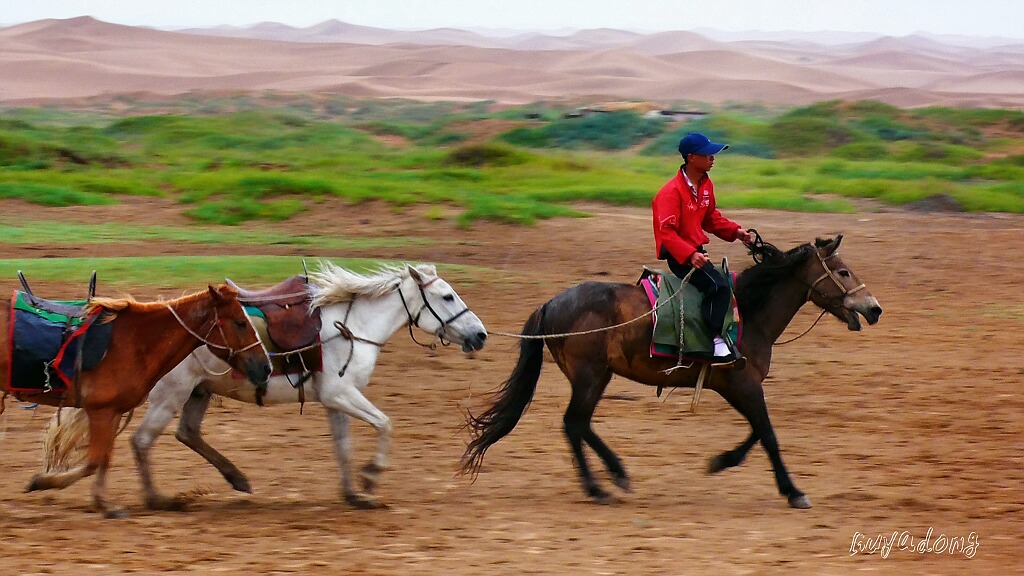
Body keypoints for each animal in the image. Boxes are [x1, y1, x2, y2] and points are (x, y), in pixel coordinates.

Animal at [0, 282, 272, 516]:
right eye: (240, 323)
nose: (266, 367)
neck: (135, 341)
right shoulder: (100, 410)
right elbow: (94, 460)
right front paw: (43, 481)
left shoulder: (112, 411)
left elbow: (103, 458)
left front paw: (102, 502)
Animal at [41, 260, 485, 506]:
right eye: (447, 297)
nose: (480, 335)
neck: (351, 326)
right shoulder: (341, 393)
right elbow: (385, 424)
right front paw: (372, 475)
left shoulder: (335, 399)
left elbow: (343, 448)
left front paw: (355, 495)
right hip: (171, 395)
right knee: (142, 441)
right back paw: (156, 498)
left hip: (198, 393)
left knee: (187, 434)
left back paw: (236, 477)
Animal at [462, 234, 880, 506]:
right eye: (842, 271)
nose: (874, 308)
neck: (749, 313)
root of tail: (551, 303)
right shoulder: (745, 385)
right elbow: (768, 434)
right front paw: (793, 491)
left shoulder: (736, 387)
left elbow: (756, 434)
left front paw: (722, 461)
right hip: (589, 376)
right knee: (573, 423)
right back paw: (598, 487)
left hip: (599, 376)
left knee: (580, 424)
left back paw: (616, 474)